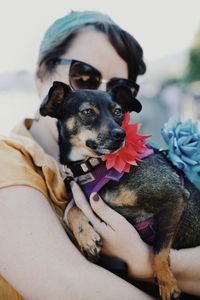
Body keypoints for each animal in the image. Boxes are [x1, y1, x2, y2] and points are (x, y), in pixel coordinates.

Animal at [39, 81, 200, 300]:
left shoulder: (174, 197)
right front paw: (86, 237)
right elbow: (71, 209)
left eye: (118, 112)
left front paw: (167, 282)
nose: (120, 134)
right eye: (87, 112)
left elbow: (159, 249)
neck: (94, 167)